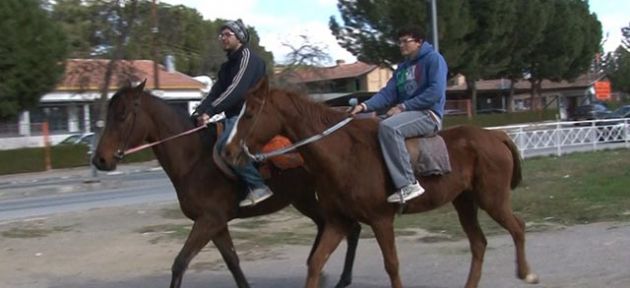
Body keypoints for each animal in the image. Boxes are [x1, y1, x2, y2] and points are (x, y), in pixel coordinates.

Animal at [91, 81, 362, 288]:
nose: (100, 160)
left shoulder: (209, 220)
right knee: (336, 227)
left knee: (349, 227)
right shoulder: (216, 224)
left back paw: (340, 277)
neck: (194, 159)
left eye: (122, 115)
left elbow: (180, 263)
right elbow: (233, 262)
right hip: (304, 199)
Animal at [225, 77, 540, 288]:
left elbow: (392, 265)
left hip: (492, 199)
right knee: (479, 243)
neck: (345, 154)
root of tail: (496, 135)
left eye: (249, 113)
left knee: (518, 227)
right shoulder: (338, 221)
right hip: (465, 201)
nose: (228, 150)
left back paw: (527, 273)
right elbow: (315, 263)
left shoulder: (380, 220)